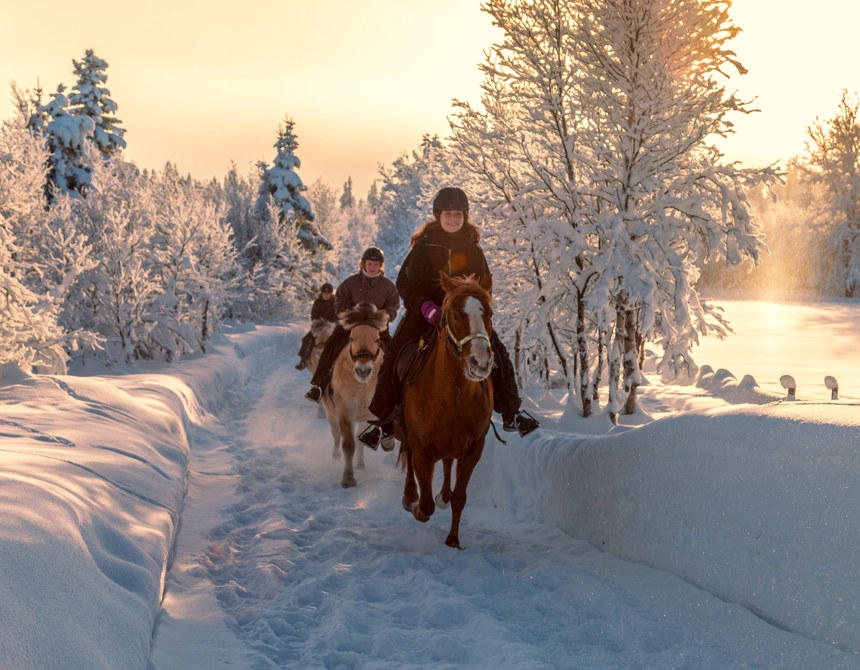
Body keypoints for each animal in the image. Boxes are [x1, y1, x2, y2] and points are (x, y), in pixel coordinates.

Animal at [322, 304, 390, 488]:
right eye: (352, 338)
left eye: (376, 339)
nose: (363, 370)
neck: (361, 385)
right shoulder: (345, 409)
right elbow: (348, 444)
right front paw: (348, 478)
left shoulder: (370, 414)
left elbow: (360, 442)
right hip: (331, 413)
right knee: (336, 434)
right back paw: (335, 457)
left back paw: (360, 464)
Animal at [400, 272, 494, 552]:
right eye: (455, 315)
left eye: (490, 314)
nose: (480, 362)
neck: (455, 394)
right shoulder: (422, 447)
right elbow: (426, 505)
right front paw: (417, 506)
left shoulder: (474, 448)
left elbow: (459, 498)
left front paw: (453, 539)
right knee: (409, 456)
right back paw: (410, 496)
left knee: (448, 463)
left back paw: (442, 494)